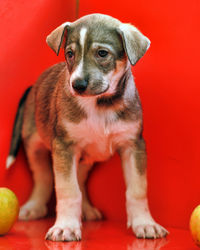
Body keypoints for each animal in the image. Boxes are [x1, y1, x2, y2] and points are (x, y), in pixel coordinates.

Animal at [6, 13, 168, 242]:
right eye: (70, 54)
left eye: (102, 53)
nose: (77, 85)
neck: (101, 105)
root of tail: (33, 86)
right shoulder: (64, 147)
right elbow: (68, 189)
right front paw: (65, 226)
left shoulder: (133, 146)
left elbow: (137, 189)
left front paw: (145, 224)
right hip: (34, 146)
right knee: (44, 177)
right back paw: (34, 207)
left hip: (86, 157)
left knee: (80, 180)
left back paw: (87, 209)